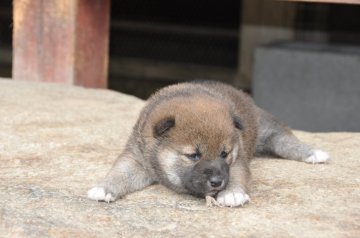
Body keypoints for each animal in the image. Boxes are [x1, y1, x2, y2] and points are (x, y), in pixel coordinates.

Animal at [87, 80, 330, 206]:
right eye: (194, 155)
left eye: (224, 154)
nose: (217, 182)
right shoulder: (136, 159)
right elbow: (120, 173)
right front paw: (104, 187)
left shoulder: (238, 159)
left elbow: (238, 176)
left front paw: (232, 193)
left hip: (267, 129)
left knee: (286, 140)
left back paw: (314, 153)